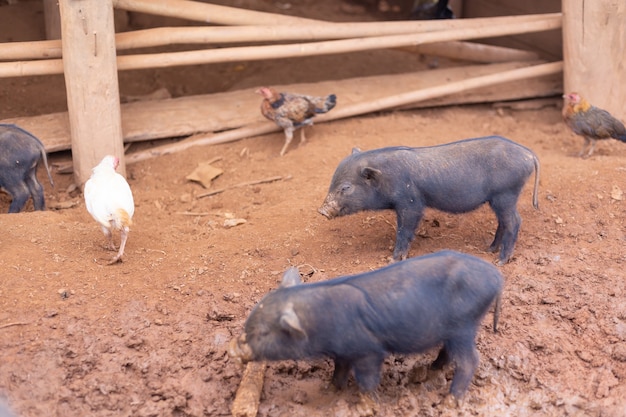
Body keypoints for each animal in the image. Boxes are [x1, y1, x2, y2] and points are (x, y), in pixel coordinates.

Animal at [229, 250, 502, 404]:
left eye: (265, 332)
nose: (234, 348)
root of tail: (497, 277)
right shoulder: (343, 351)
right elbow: (339, 371)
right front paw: (328, 390)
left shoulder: (368, 351)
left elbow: (367, 379)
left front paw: (368, 404)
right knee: (447, 353)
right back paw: (428, 371)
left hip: (464, 326)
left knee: (469, 360)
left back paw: (450, 402)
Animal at [316, 135, 536, 264]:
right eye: (332, 181)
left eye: (346, 187)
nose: (322, 211)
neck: (387, 177)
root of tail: (529, 154)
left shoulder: (410, 202)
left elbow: (404, 229)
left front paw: (394, 259)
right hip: (499, 199)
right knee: (504, 222)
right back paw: (489, 249)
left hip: (506, 193)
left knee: (515, 221)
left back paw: (500, 261)